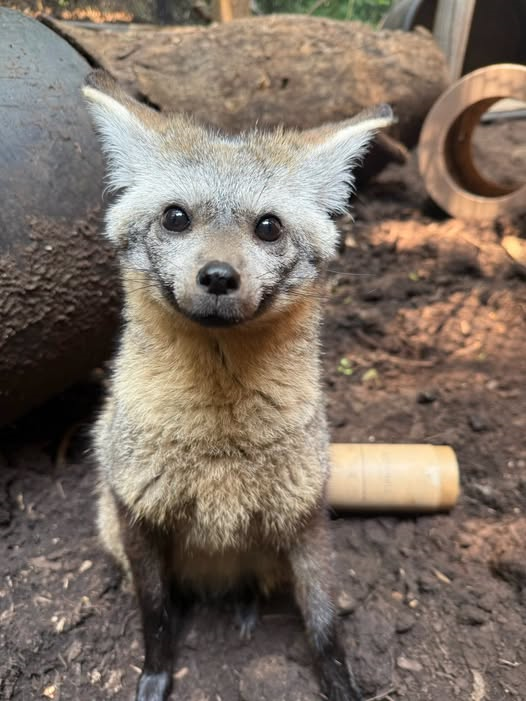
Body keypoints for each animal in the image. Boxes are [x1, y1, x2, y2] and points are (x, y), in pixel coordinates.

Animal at [82, 69, 393, 701]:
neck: (219, 443)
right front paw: (155, 675)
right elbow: (155, 616)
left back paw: (245, 603)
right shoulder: (135, 511)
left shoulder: (304, 517)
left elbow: (325, 627)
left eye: (268, 227)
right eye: (176, 218)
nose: (219, 276)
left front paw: (341, 684)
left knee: (251, 581)